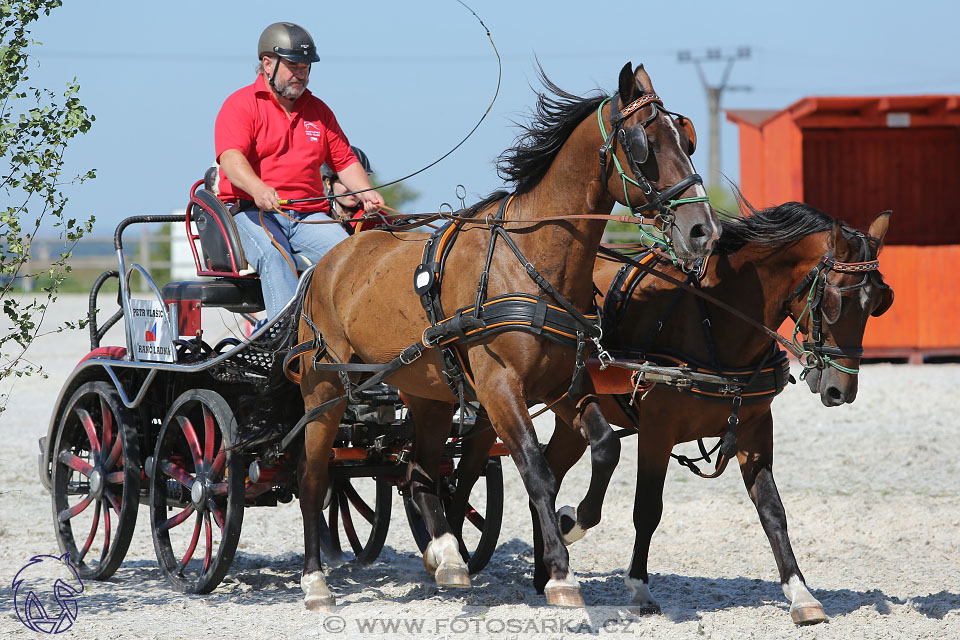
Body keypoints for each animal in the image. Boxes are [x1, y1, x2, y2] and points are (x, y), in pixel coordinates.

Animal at [296, 63, 716, 608]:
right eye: (643, 142)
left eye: (686, 138)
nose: (702, 231)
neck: (532, 260)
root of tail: (331, 260)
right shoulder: (499, 389)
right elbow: (536, 470)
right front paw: (559, 573)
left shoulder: (564, 386)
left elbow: (606, 449)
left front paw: (574, 522)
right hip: (323, 391)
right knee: (313, 478)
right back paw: (315, 580)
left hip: (427, 393)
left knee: (420, 472)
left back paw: (447, 556)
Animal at [524, 204, 892, 624]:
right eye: (833, 302)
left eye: (878, 303)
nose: (841, 390)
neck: (713, 321)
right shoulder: (657, 431)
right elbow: (647, 509)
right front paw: (638, 587)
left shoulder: (755, 429)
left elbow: (773, 511)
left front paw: (800, 594)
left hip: (571, 415)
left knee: (549, 472)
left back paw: (546, 571)